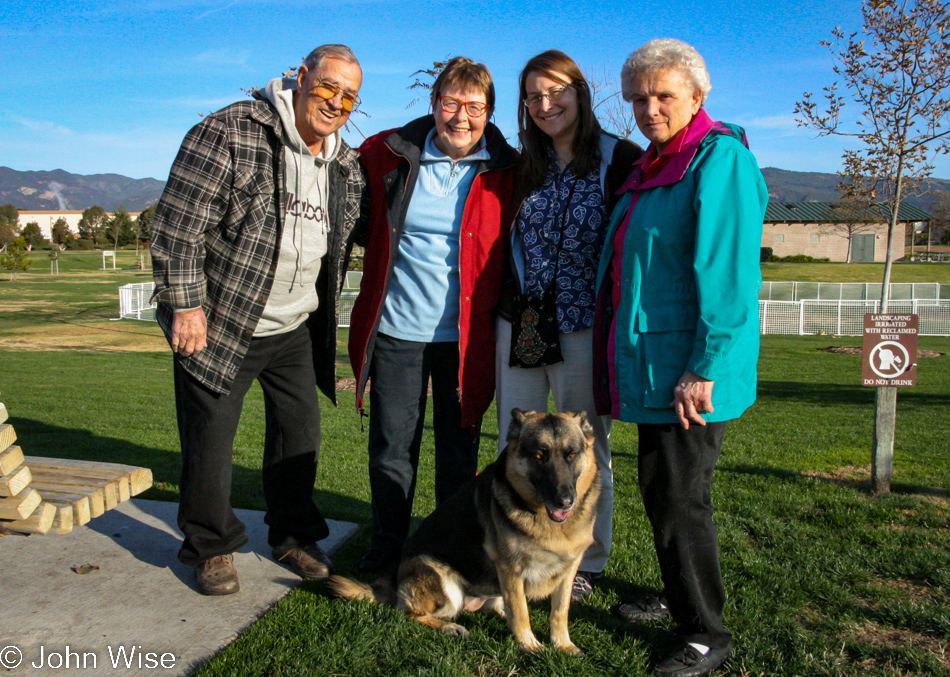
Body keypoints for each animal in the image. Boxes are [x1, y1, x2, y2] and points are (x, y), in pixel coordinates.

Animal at [324, 410, 600, 652]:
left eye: (572, 455)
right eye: (539, 456)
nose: (564, 502)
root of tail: (394, 580)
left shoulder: (567, 571)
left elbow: (558, 612)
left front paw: (562, 645)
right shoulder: (511, 569)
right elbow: (521, 612)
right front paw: (529, 645)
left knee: (500, 606)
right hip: (444, 585)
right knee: (408, 612)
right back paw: (450, 627)